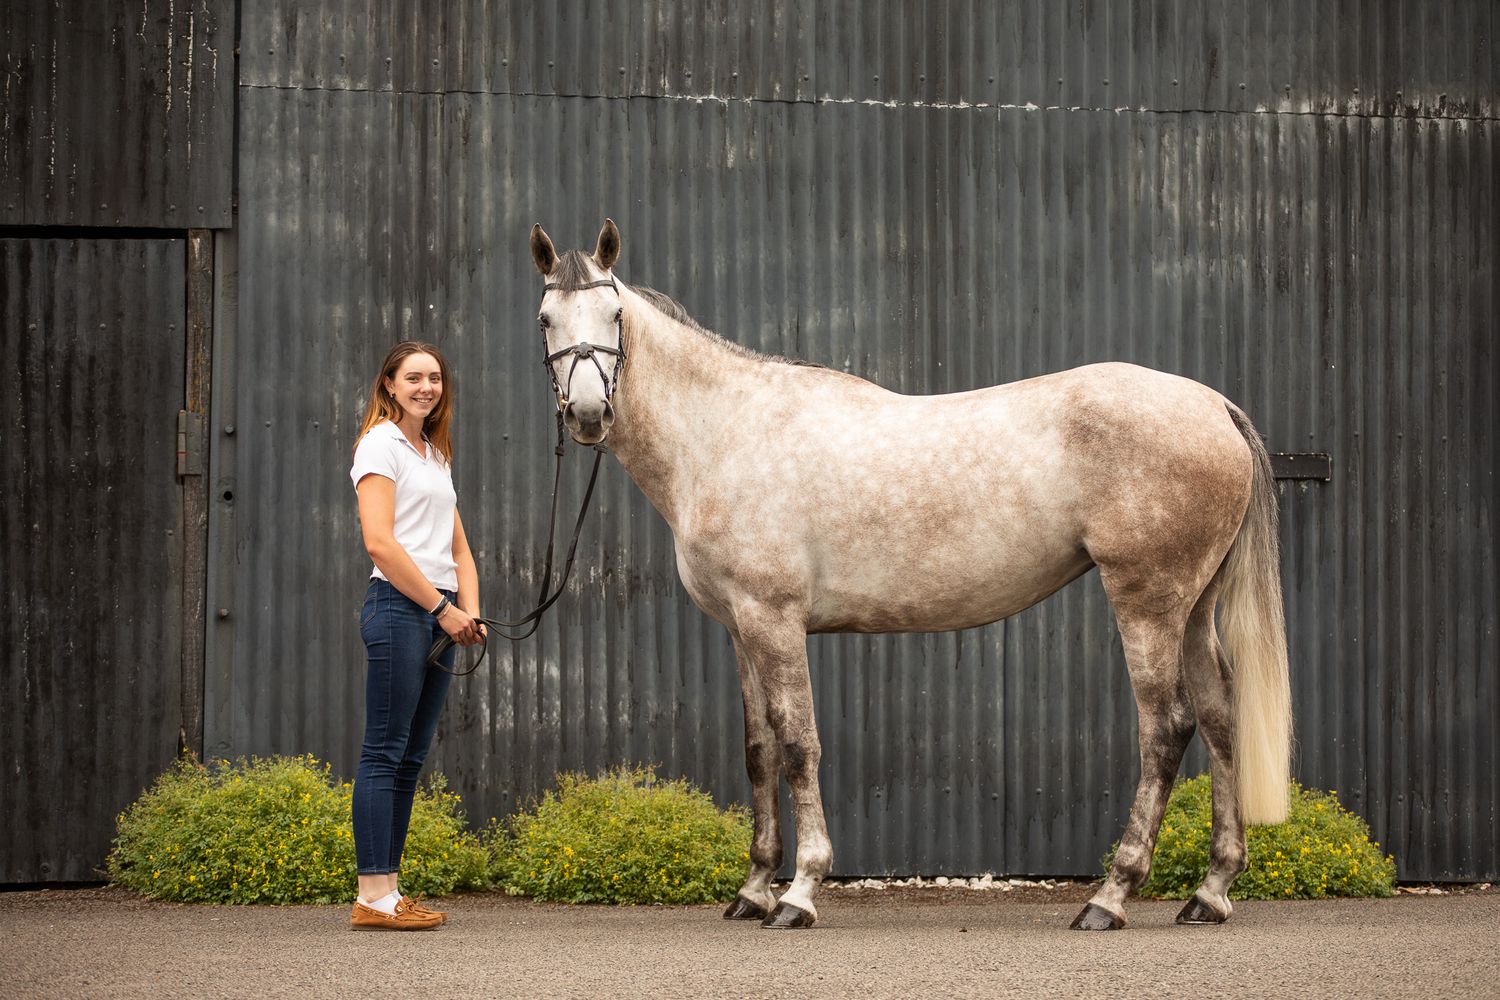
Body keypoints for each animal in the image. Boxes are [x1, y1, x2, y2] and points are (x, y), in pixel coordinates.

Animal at [527, 219, 1292, 931]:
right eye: (545, 319)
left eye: (615, 314)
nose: (589, 414)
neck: (726, 432)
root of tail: (1214, 406)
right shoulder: (741, 628)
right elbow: (759, 750)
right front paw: (753, 889)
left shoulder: (774, 620)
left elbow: (799, 744)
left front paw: (799, 893)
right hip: (1192, 609)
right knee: (1219, 719)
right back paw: (1211, 892)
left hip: (1146, 602)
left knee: (1167, 728)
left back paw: (1109, 897)